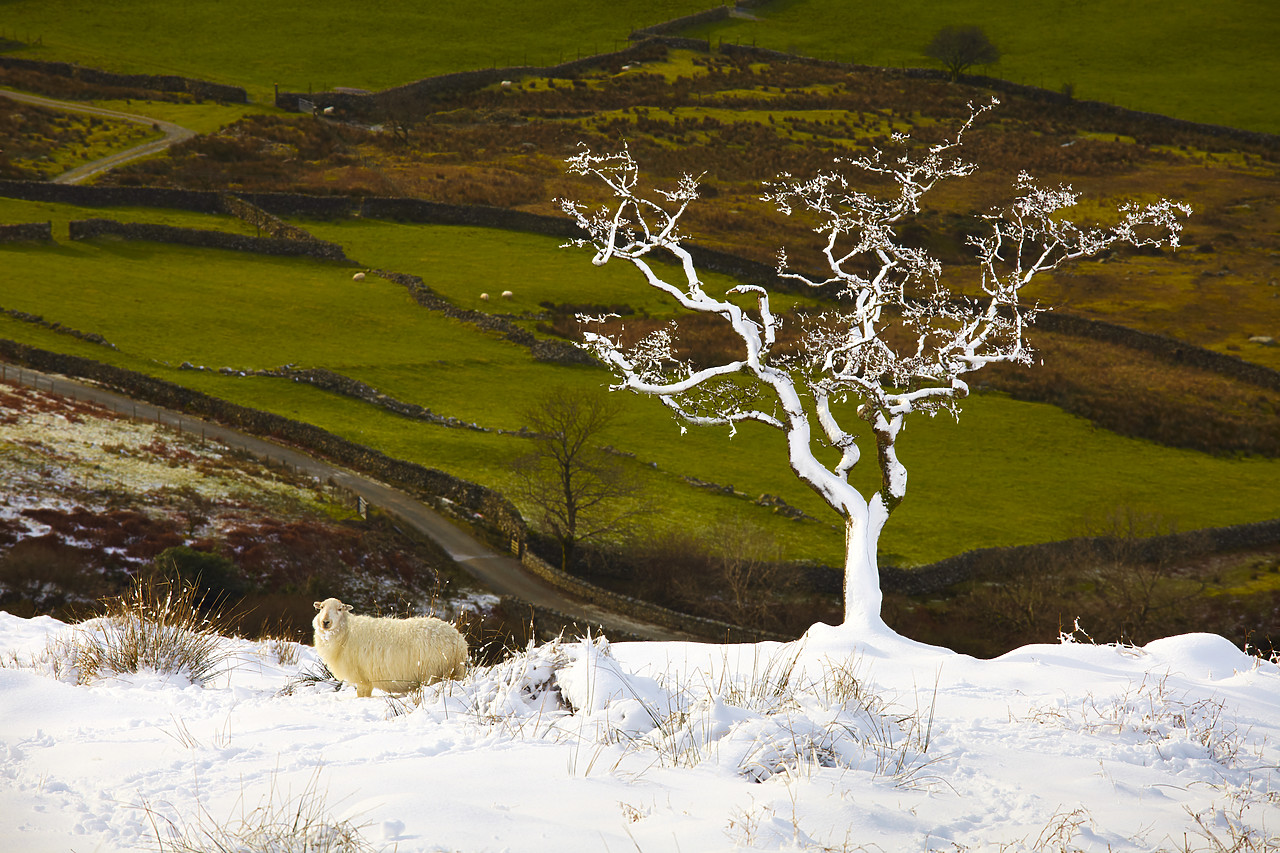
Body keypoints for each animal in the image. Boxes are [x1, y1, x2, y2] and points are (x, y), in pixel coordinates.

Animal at [312, 594, 468, 696]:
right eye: (321, 608)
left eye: (339, 609)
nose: (325, 622)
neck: (346, 632)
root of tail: (459, 640)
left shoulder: (362, 677)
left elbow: (362, 695)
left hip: (434, 672)